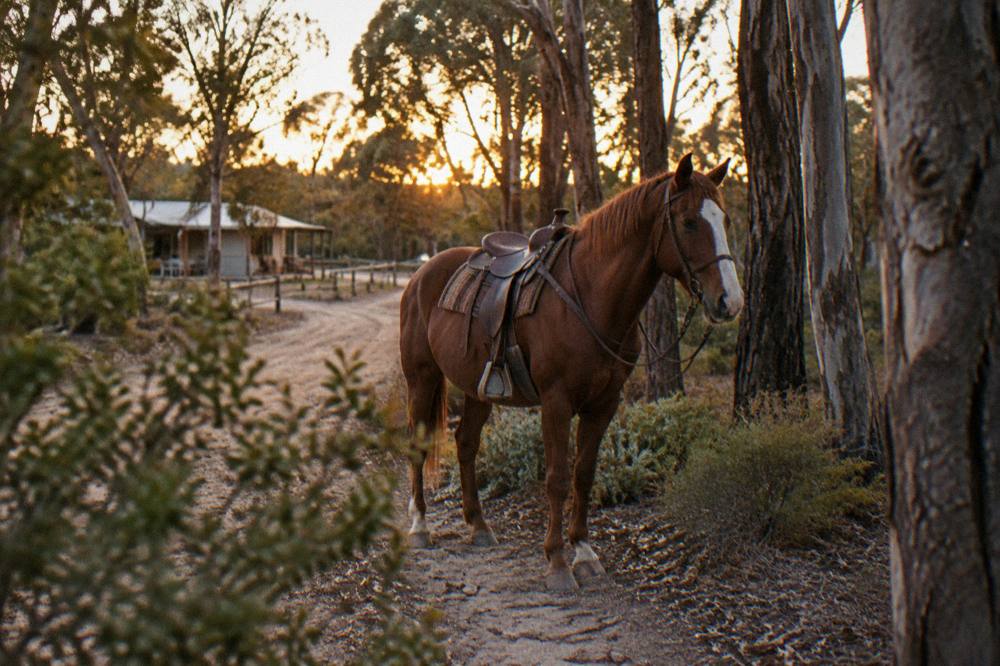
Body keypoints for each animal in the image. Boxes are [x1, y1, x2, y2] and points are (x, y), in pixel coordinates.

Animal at [398, 153, 744, 590]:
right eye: (689, 222)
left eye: (725, 220)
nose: (730, 301)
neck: (592, 297)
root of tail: (420, 275)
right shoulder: (556, 402)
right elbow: (558, 478)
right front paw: (558, 562)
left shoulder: (604, 404)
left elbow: (584, 473)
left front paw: (584, 552)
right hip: (421, 378)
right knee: (417, 444)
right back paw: (420, 526)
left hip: (478, 391)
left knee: (466, 444)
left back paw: (478, 525)